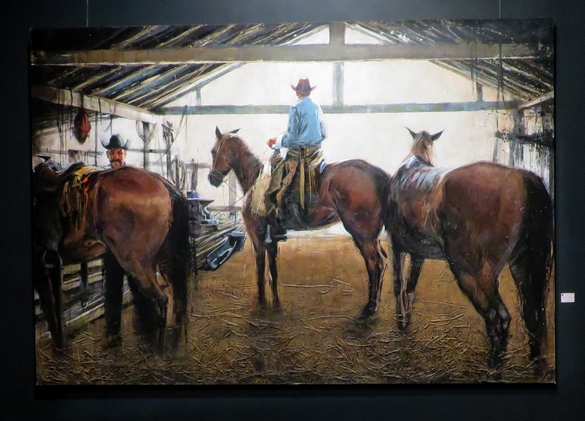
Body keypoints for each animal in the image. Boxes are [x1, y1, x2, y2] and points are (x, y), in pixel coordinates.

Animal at [33, 159, 192, 350]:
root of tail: (165, 184)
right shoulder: (54, 266)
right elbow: (57, 308)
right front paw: (61, 346)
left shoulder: (40, 267)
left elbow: (50, 308)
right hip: (165, 262)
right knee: (176, 298)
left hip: (137, 265)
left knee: (161, 299)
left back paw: (158, 348)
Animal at [208, 126, 390, 316]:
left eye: (213, 151)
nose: (212, 179)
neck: (256, 181)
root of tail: (381, 175)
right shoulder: (271, 238)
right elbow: (273, 271)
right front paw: (275, 302)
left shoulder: (257, 236)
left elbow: (260, 269)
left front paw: (262, 301)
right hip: (372, 236)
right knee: (383, 261)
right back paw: (374, 304)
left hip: (362, 235)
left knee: (374, 263)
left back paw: (370, 307)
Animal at [388, 129, 552, 368]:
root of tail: (522, 177)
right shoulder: (417, 254)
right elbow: (409, 286)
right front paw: (405, 321)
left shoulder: (397, 245)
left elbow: (398, 284)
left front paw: (401, 322)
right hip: (521, 266)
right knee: (531, 314)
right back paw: (533, 361)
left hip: (473, 271)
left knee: (499, 315)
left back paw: (495, 360)